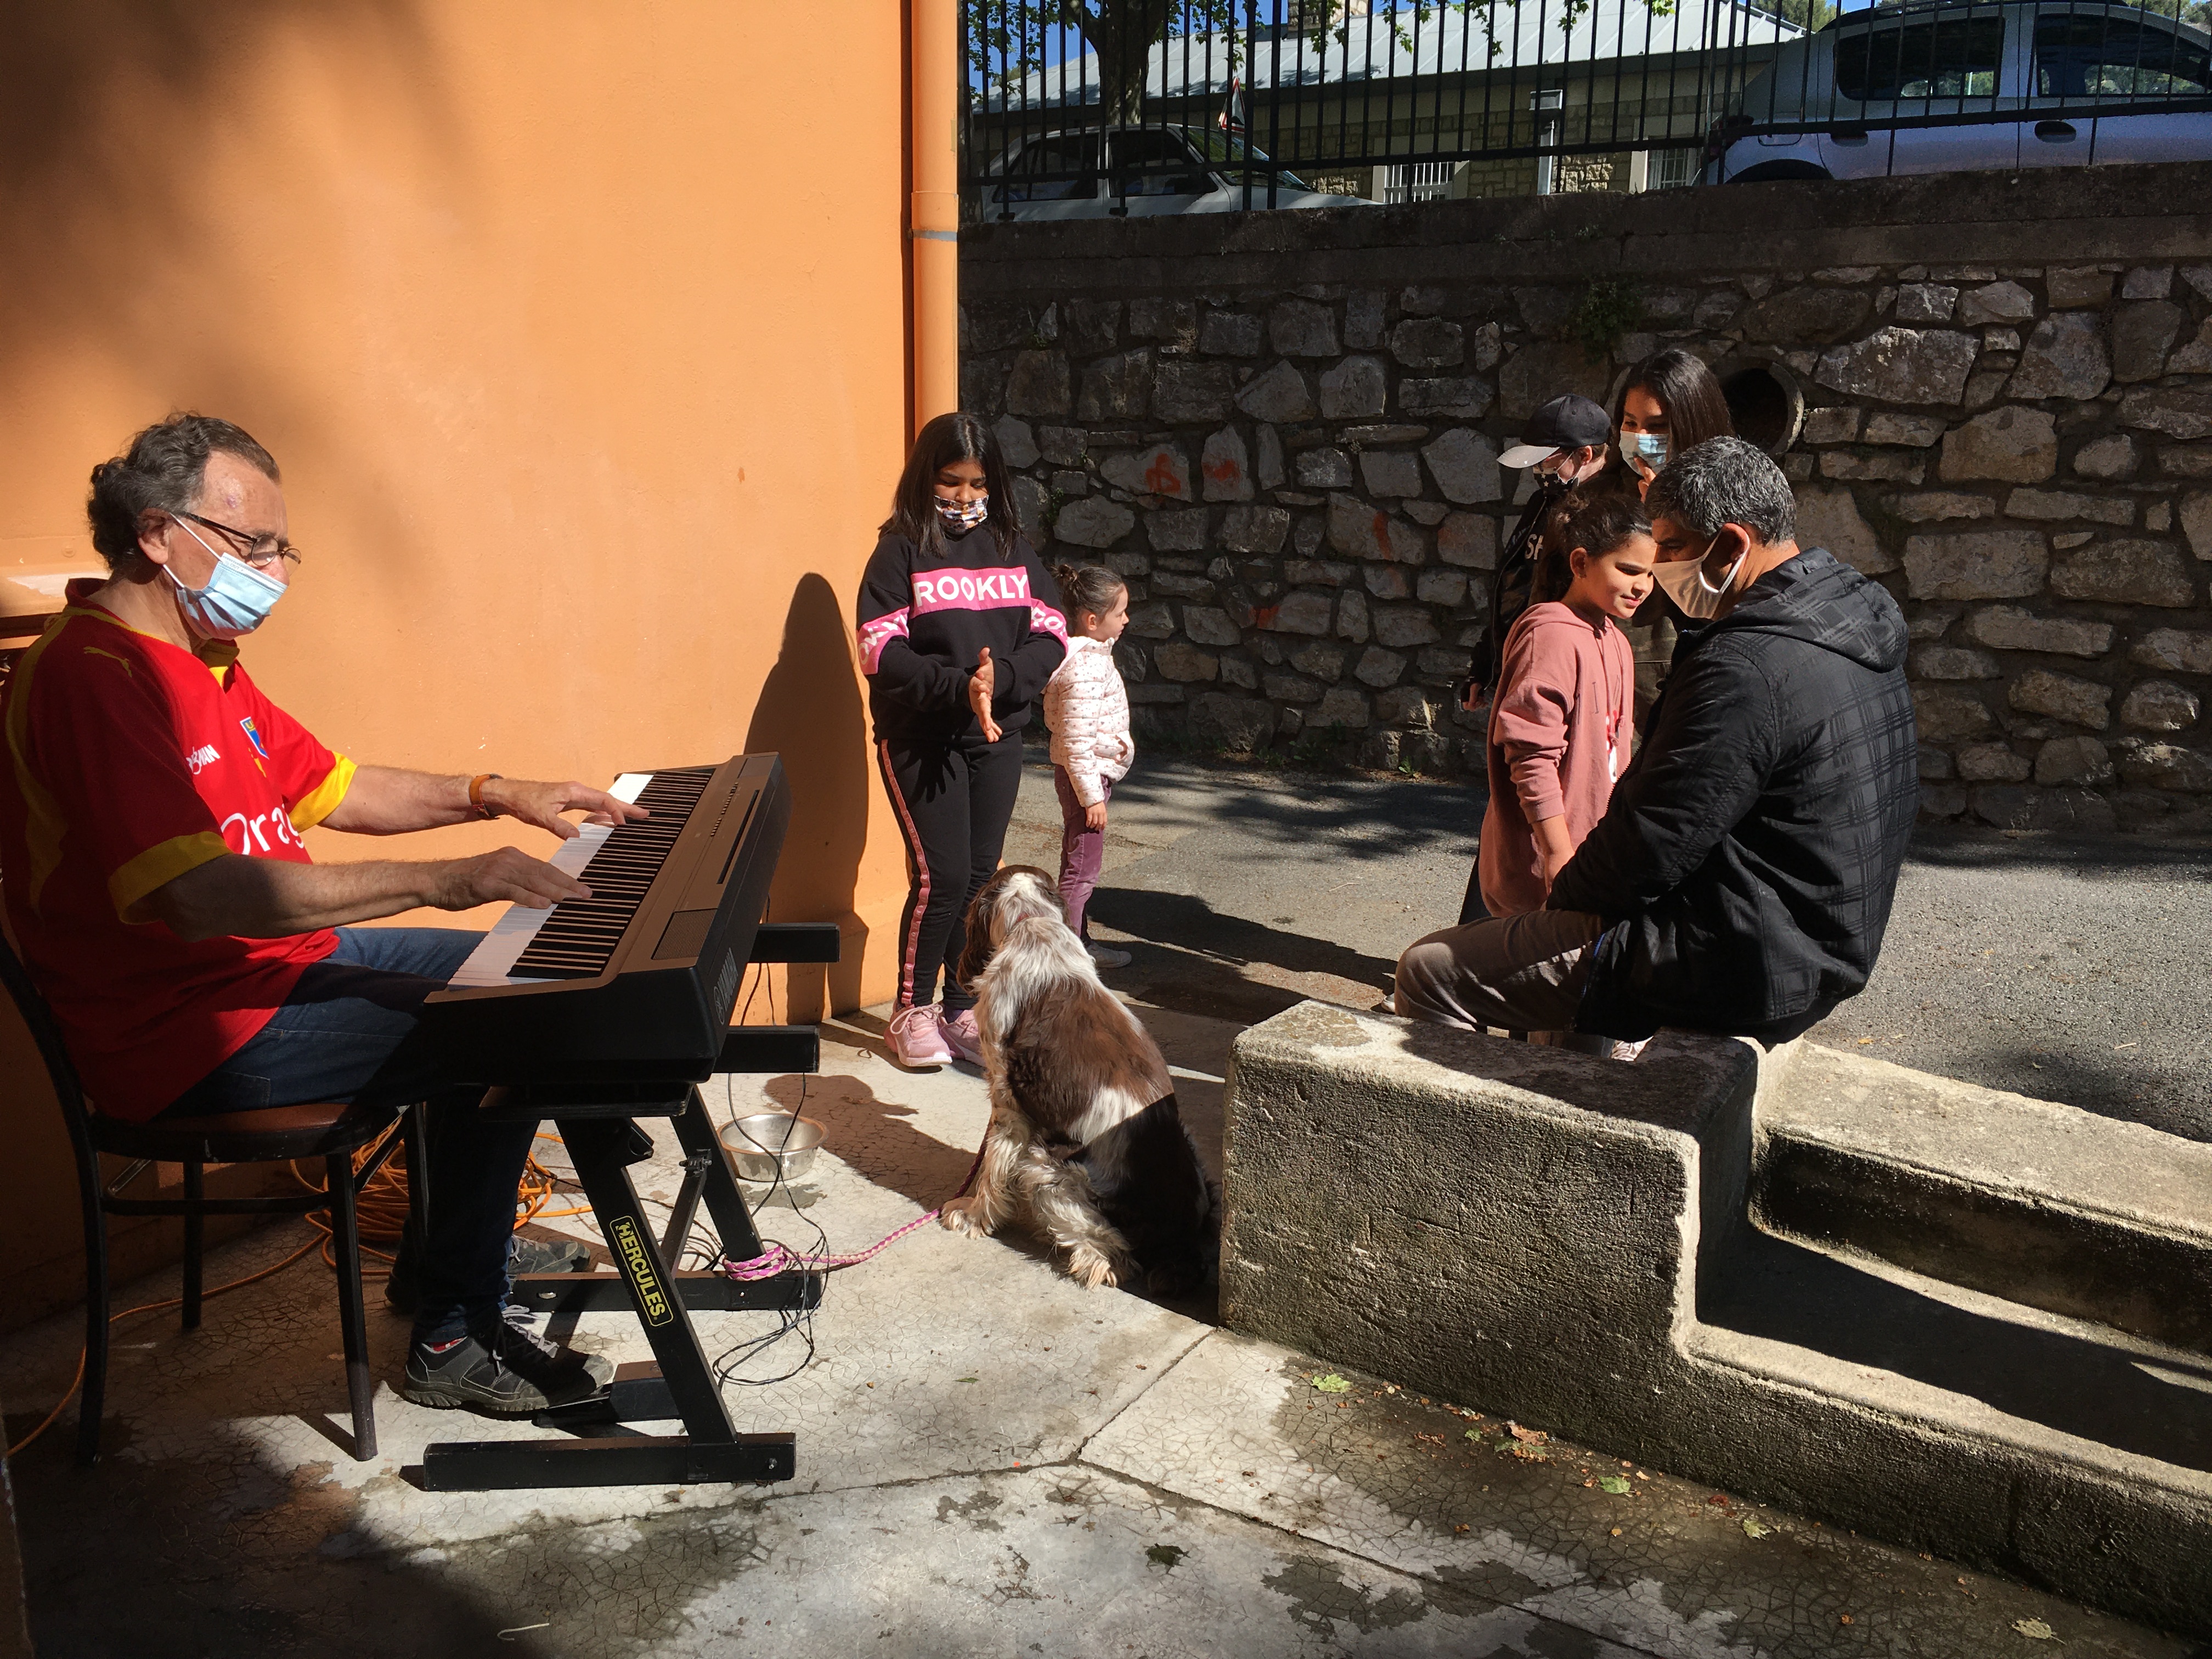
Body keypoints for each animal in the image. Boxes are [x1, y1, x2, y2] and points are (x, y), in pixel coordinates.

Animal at [938, 871, 1221, 1300]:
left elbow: (992, 1168)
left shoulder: (1008, 1104)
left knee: (1115, 1256)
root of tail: (1183, 1238)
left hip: (1049, 1169)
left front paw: (972, 1215)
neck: (1034, 925)